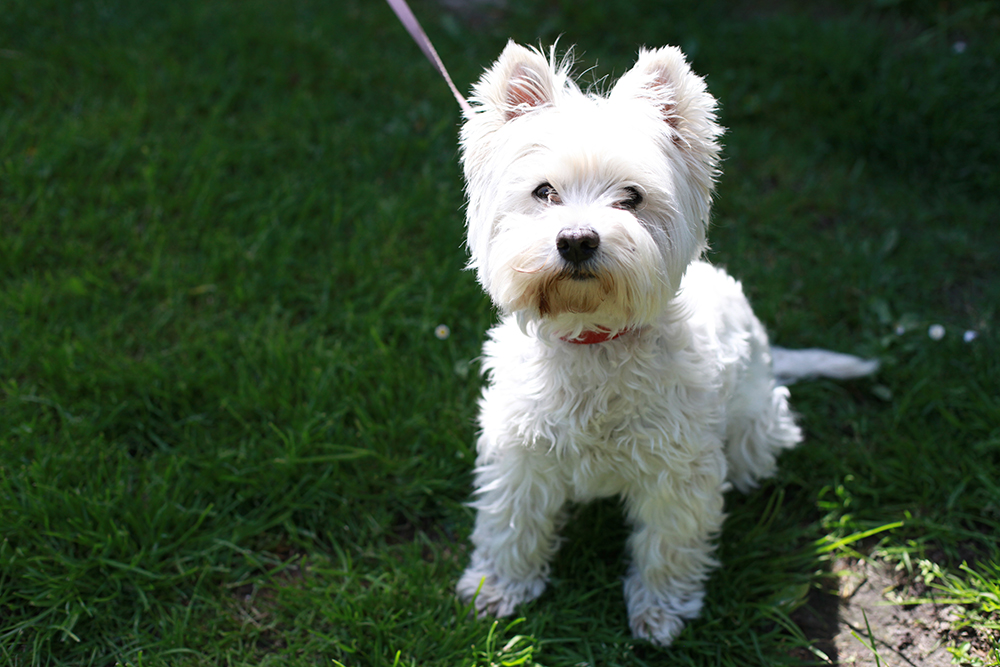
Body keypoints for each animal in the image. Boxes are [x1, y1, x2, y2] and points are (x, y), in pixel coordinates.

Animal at [454, 41, 876, 648]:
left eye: (631, 197)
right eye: (544, 192)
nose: (576, 240)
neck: (595, 340)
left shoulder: (677, 472)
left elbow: (668, 545)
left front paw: (660, 612)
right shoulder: (521, 453)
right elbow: (511, 522)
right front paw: (497, 588)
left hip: (757, 426)